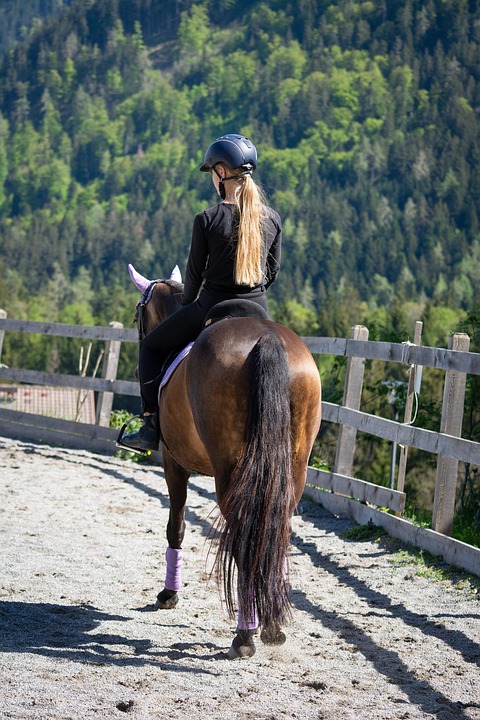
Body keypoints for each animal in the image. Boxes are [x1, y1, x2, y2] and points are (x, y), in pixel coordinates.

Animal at [123, 264, 322, 658]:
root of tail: (266, 340)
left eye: (139, 314)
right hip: (292, 468)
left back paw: (245, 634)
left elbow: (176, 526)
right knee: (275, 532)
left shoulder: (174, 463)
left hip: (229, 471)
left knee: (245, 538)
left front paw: (168, 595)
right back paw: (272, 625)